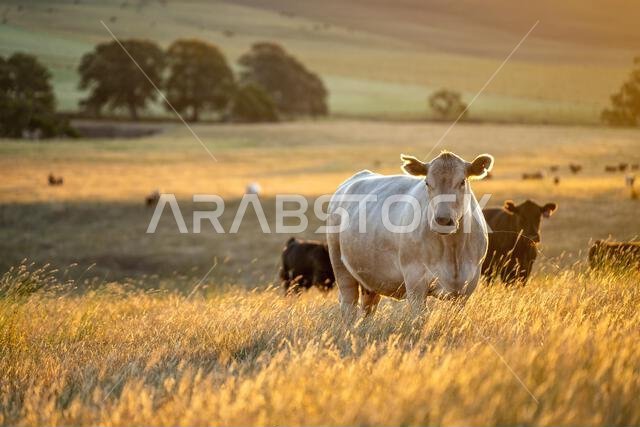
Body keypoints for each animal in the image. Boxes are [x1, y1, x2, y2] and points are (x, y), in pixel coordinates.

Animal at [327, 151, 494, 320]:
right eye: (427, 183)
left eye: (462, 182)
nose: (442, 220)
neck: (453, 251)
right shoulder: (415, 283)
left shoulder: (466, 288)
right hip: (340, 268)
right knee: (348, 305)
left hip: (371, 280)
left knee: (367, 309)